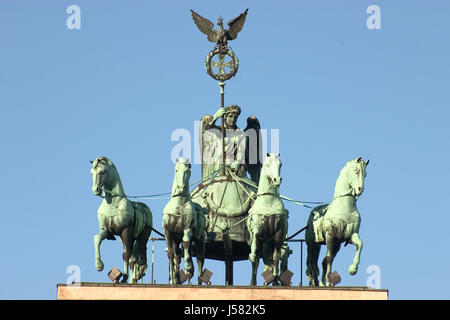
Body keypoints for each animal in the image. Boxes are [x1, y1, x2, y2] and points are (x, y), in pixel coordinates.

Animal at [90, 156, 153, 284]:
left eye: (101, 172)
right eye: (91, 172)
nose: (95, 190)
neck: (113, 203)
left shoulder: (126, 231)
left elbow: (125, 254)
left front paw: (124, 276)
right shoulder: (107, 230)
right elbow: (97, 238)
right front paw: (99, 265)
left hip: (142, 236)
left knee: (140, 255)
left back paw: (138, 272)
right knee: (133, 259)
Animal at [246, 154, 288, 286]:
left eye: (280, 164)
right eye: (268, 164)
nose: (277, 180)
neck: (269, 200)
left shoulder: (279, 233)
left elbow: (275, 257)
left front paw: (275, 280)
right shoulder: (257, 226)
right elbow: (256, 234)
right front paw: (252, 253)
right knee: (255, 262)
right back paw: (252, 282)